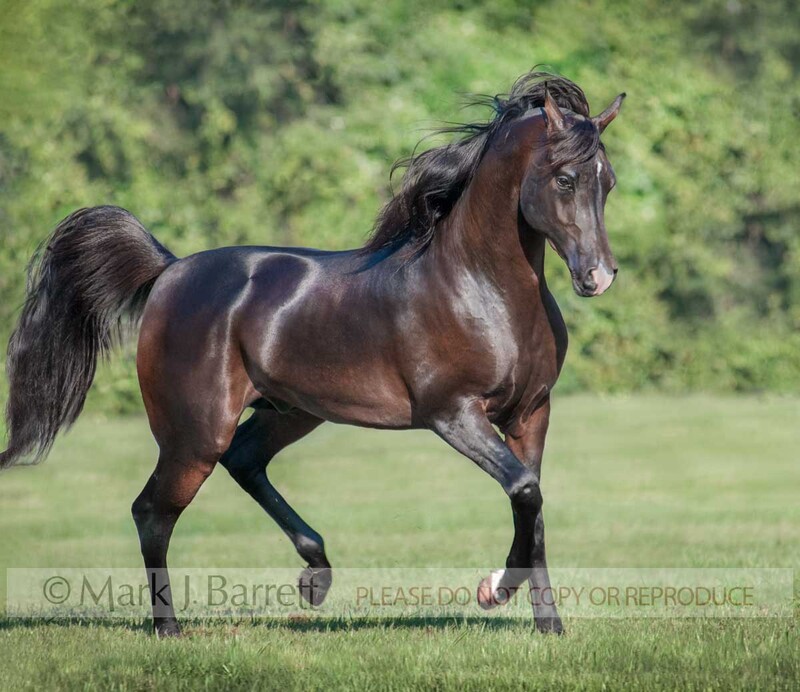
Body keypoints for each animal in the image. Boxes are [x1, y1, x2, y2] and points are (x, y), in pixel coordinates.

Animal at [0, 71, 624, 636]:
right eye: (564, 178)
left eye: (609, 182)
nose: (598, 277)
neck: (481, 287)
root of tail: (169, 271)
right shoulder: (453, 414)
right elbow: (524, 491)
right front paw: (492, 590)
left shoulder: (530, 413)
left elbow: (532, 506)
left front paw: (549, 628)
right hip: (195, 434)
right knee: (153, 511)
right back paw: (169, 631)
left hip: (290, 412)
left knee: (244, 462)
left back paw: (315, 576)